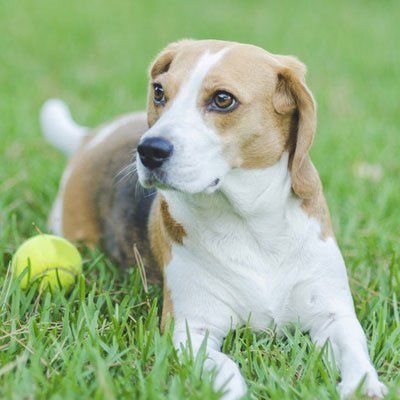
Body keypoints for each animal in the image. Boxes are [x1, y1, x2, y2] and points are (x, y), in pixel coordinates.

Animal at [41, 39, 388, 398]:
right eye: (159, 92)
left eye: (223, 99)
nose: (148, 150)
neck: (251, 226)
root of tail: (92, 137)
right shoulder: (191, 330)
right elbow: (227, 368)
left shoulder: (333, 314)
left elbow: (353, 349)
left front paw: (364, 385)